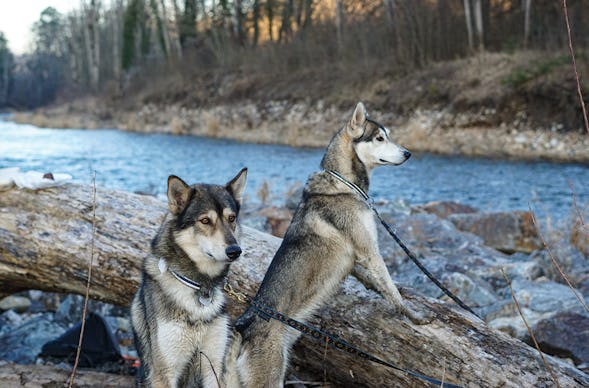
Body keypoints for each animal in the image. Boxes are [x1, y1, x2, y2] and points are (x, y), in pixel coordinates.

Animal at [130, 167, 246, 388]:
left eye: (232, 218)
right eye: (205, 221)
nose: (235, 251)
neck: (198, 286)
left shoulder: (213, 366)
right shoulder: (164, 372)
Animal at [232, 101, 430, 386]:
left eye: (388, 136)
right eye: (380, 138)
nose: (408, 153)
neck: (344, 184)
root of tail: (243, 330)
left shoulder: (357, 258)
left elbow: (375, 282)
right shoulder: (369, 251)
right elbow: (391, 288)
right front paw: (413, 315)